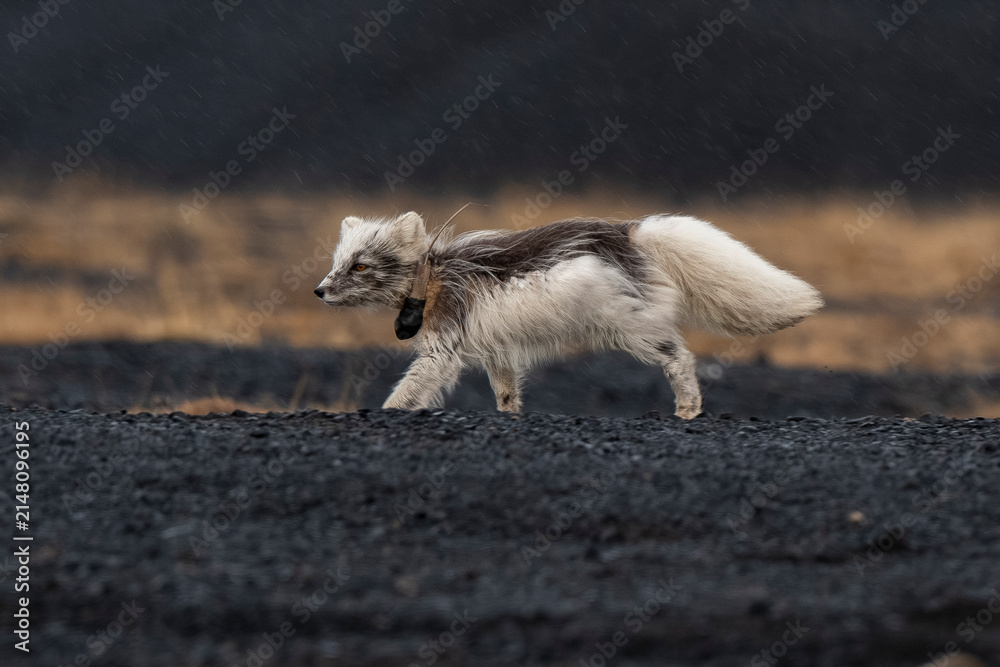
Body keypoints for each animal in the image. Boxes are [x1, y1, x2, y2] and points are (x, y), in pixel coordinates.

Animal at [314, 212, 823, 419]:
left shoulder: (445, 345)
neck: (432, 277)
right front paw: (511, 416)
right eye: (338, 262)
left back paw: (688, 409)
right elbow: (506, 392)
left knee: (679, 355)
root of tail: (628, 231)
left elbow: (410, 388)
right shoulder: (496, 349)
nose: (319, 290)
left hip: (626, 322)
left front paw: (387, 413)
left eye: (360, 266)